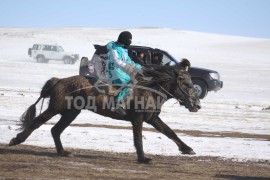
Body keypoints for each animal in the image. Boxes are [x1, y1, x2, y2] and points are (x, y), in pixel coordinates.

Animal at [8, 59, 200, 163]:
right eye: (187, 84)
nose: (197, 105)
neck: (150, 90)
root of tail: (59, 80)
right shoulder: (138, 119)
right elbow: (138, 139)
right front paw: (143, 159)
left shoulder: (152, 119)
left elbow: (170, 132)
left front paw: (188, 149)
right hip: (56, 108)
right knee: (37, 122)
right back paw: (16, 140)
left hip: (71, 113)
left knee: (56, 130)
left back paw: (63, 152)